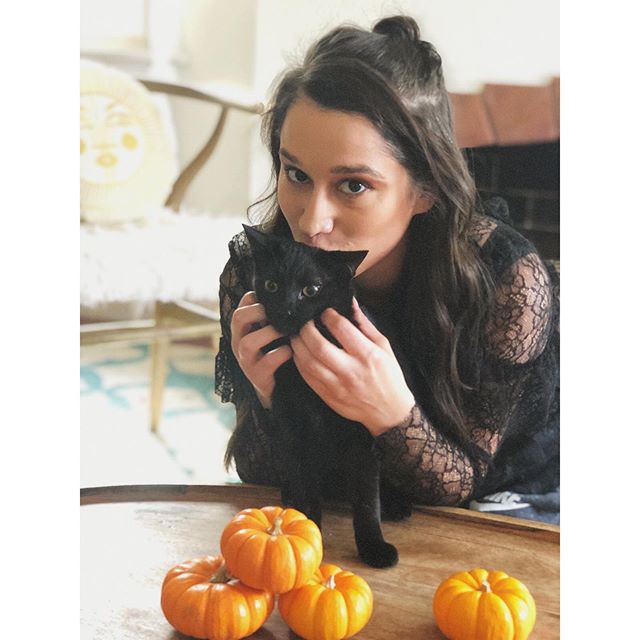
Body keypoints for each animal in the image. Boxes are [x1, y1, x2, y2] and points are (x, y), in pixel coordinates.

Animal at [242, 226, 412, 568]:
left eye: (311, 289)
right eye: (271, 285)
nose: (287, 309)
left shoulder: (363, 439)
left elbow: (366, 501)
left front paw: (374, 547)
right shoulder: (294, 432)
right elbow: (306, 488)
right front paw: (306, 532)